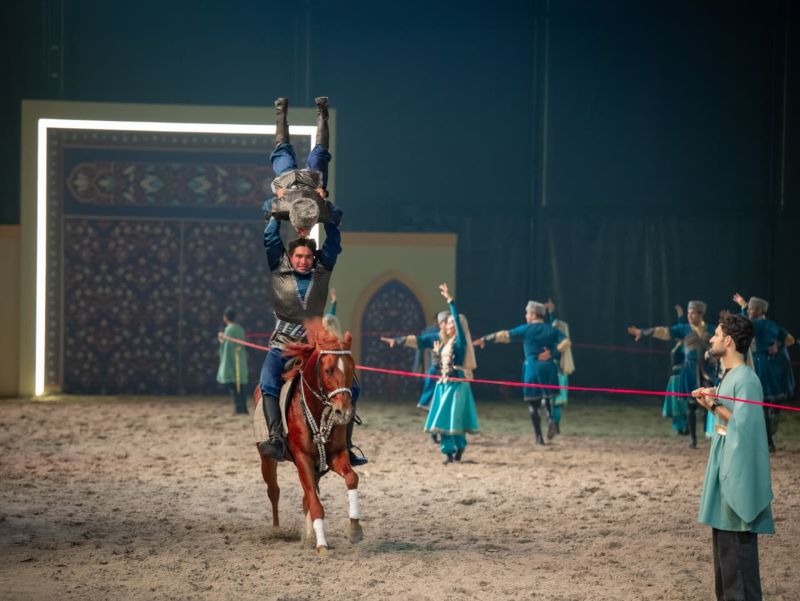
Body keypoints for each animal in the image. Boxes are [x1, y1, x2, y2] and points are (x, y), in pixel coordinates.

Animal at [253, 319, 363, 555]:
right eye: (328, 370)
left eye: (352, 368)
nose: (343, 412)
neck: (315, 408)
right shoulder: (302, 457)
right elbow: (314, 502)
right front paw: (322, 545)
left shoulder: (335, 454)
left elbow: (351, 478)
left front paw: (355, 529)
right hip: (267, 458)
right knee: (274, 491)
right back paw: (277, 530)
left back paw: (310, 534)